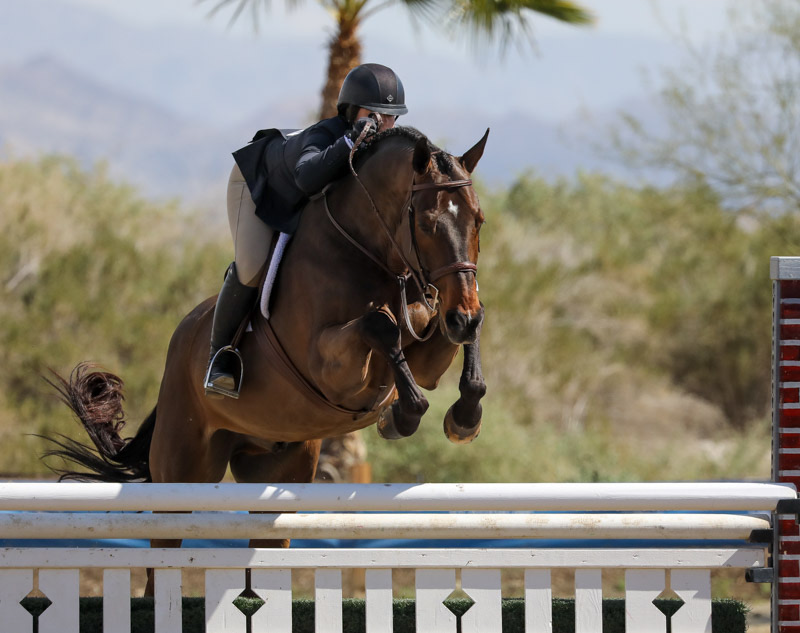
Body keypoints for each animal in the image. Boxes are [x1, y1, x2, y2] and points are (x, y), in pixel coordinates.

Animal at [50, 127, 490, 592]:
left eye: (478, 221)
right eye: (426, 223)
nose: (461, 315)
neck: (368, 253)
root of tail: (181, 338)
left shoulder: (427, 351)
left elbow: (458, 341)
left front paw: (464, 416)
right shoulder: (331, 366)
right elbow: (381, 326)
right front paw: (404, 415)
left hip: (277, 472)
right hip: (181, 473)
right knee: (162, 554)